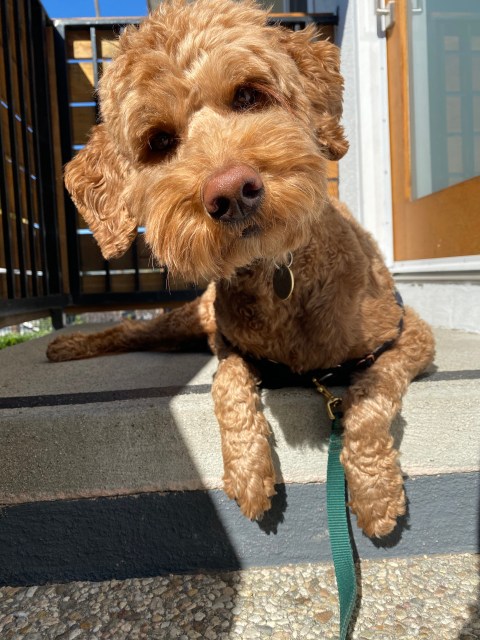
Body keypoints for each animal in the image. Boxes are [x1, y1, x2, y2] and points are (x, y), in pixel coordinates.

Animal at [47, 0, 436, 540]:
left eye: (248, 95)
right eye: (159, 141)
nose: (231, 192)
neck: (281, 276)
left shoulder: (410, 335)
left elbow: (369, 396)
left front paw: (375, 494)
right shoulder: (232, 346)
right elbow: (225, 385)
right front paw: (250, 474)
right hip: (187, 320)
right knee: (129, 330)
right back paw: (68, 346)